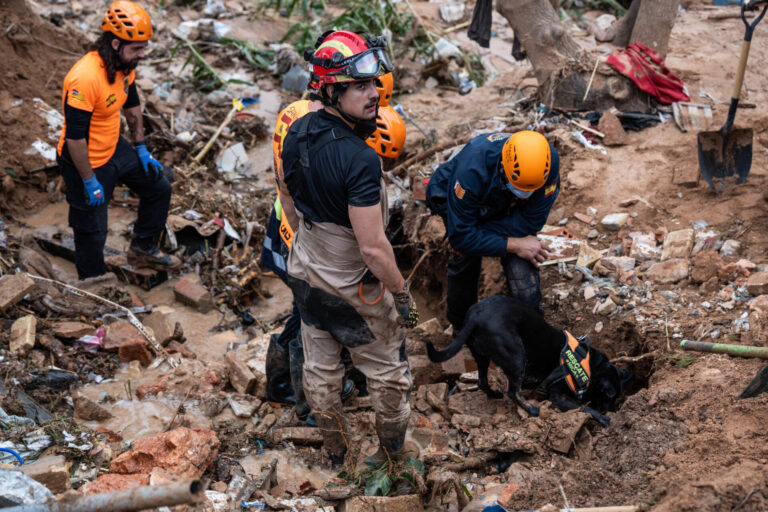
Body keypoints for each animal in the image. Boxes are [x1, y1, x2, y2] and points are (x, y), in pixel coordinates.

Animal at [426, 294, 632, 426]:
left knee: (483, 381)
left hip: (482, 356)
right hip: (517, 355)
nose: (611, 410)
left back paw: (494, 394)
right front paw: (603, 419)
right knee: (512, 392)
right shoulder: (557, 396)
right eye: (608, 398)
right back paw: (532, 410)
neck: (589, 366)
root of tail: (476, 315)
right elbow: (583, 408)